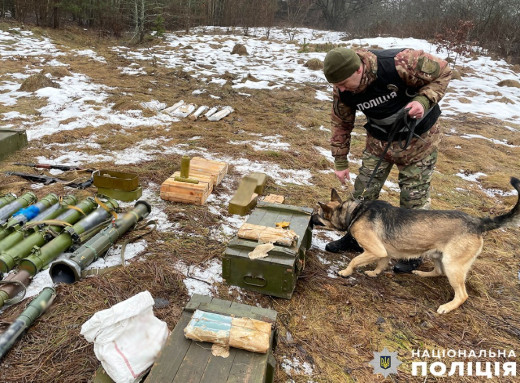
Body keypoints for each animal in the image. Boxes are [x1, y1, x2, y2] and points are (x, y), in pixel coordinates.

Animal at [312, 178, 520, 314]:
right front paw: (374, 273)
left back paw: (447, 307)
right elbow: (381, 263)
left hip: (453, 265)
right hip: (438, 256)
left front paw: (345, 272)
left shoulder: (375, 249)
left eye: (318, 214)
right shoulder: (384, 251)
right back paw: (421, 273)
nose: (310, 216)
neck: (355, 211)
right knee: (438, 272)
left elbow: (355, 260)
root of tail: (479, 222)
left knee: (462, 295)